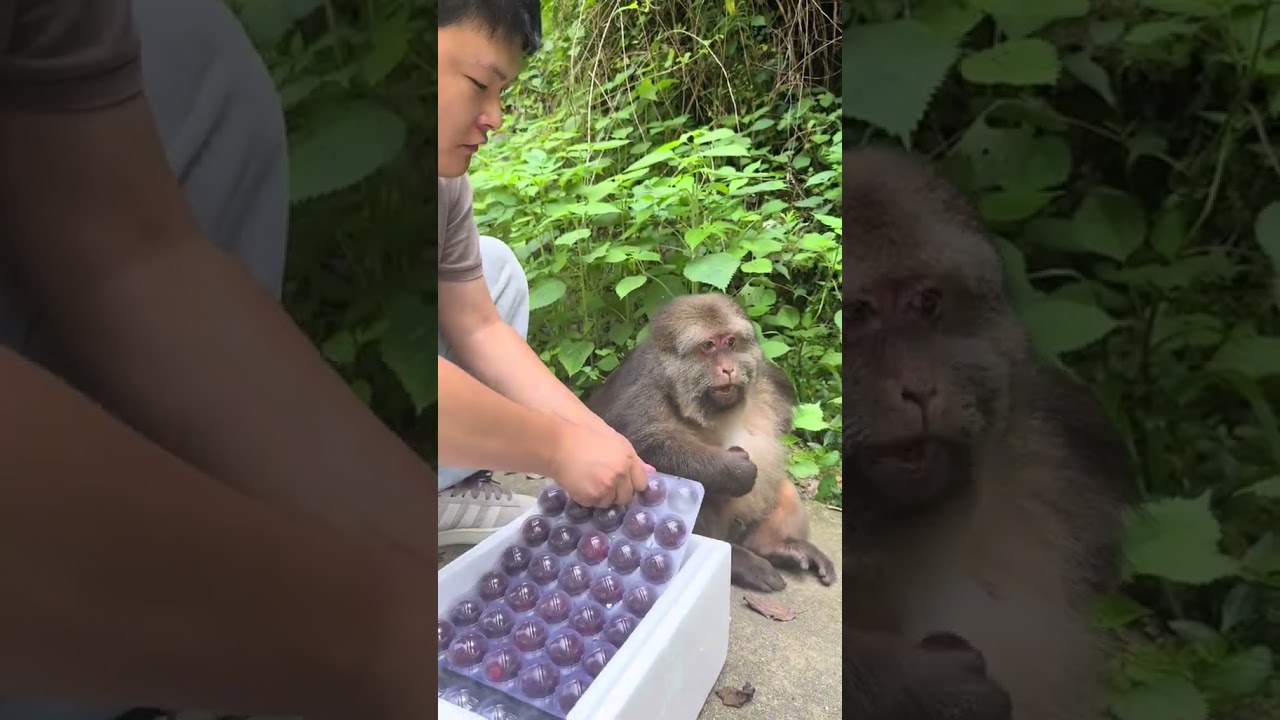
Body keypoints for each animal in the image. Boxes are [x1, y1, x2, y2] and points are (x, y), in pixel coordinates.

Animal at [585, 292, 838, 593]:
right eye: (707, 346)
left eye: (730, 342)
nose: (728, 368)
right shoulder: (642, 390)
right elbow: (633, 449)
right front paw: (735, 469)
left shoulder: (772, 379)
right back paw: (737, 559)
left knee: (781, 486)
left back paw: (772, 546)